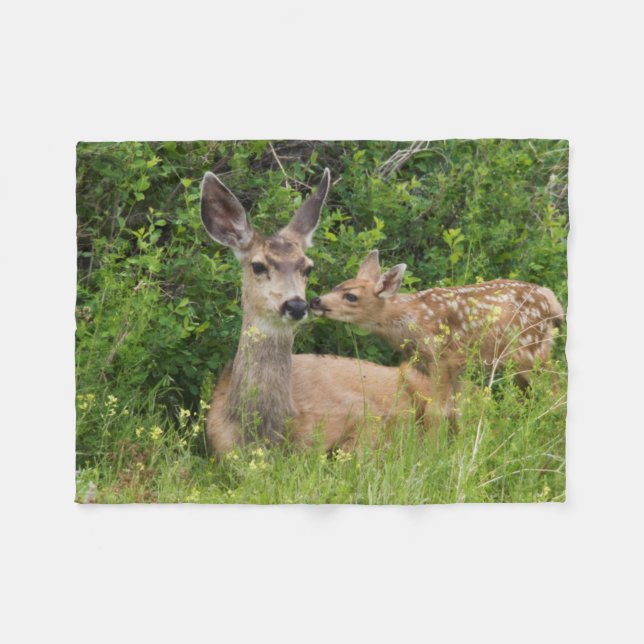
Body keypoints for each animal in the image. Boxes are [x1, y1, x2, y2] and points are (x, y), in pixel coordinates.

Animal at [310, 250, 564, 429]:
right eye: (337, 286)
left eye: (351, 296)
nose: (315, 301)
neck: (410, 320)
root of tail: (551, 299)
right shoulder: (455, 366)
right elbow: (457, 410)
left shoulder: (441, 357)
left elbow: (436, 411)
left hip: (530, 349)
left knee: (555, 393)